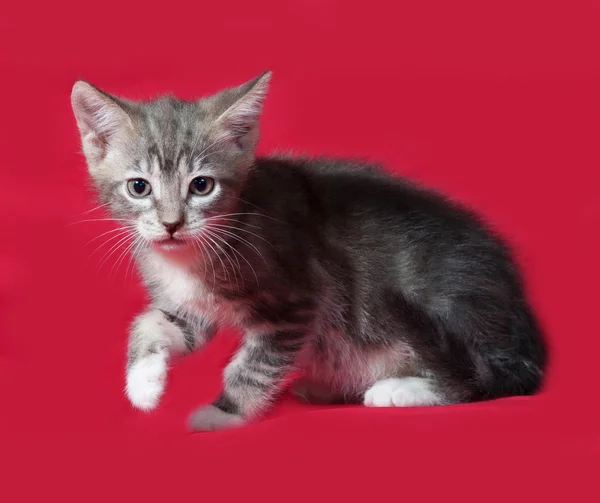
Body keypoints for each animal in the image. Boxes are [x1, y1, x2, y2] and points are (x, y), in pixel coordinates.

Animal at [70, 72, 548, 434]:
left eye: (201, 185)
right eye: (139, 187)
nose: (171, 224)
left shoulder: (295, 302)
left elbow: (253, 365)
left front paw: (222, 414)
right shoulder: (193, 307)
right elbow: (151, 322)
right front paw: (143, 384)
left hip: (451, 311)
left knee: (491, 378)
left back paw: (399, 389)